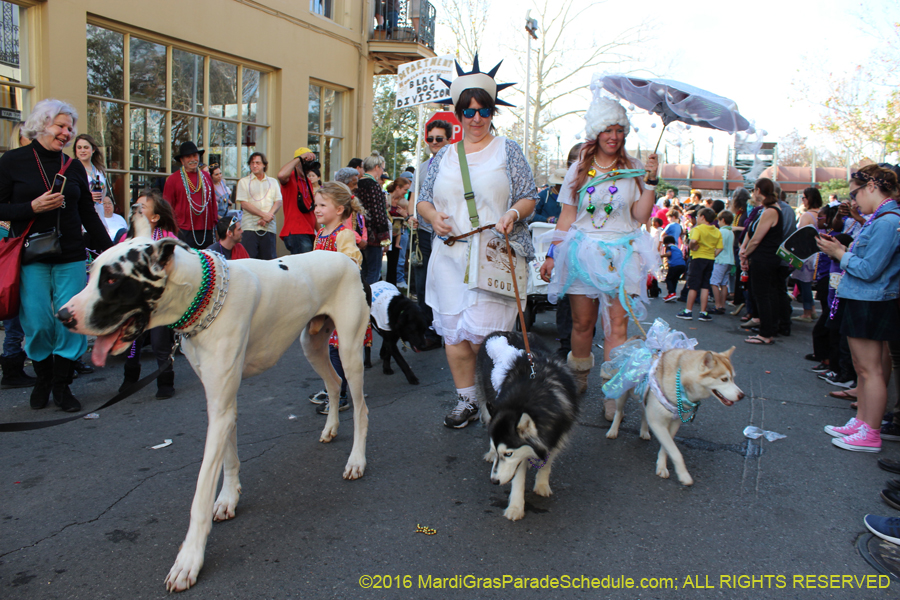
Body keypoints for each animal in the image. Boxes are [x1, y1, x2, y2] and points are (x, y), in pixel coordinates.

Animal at [55, 214, 370, 592]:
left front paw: (189, 559)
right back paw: (331, 428)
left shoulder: (221, 405)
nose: (62, 315)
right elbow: (229, 458)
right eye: (92, 273)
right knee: (333, 384)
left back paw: (356, 461)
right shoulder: (220, 401)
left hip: (350, 351)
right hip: (313, 345)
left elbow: (201, 492)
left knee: (361, 406)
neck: (198, 296)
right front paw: (229, 498)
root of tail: (346, 260)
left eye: (114, 279)